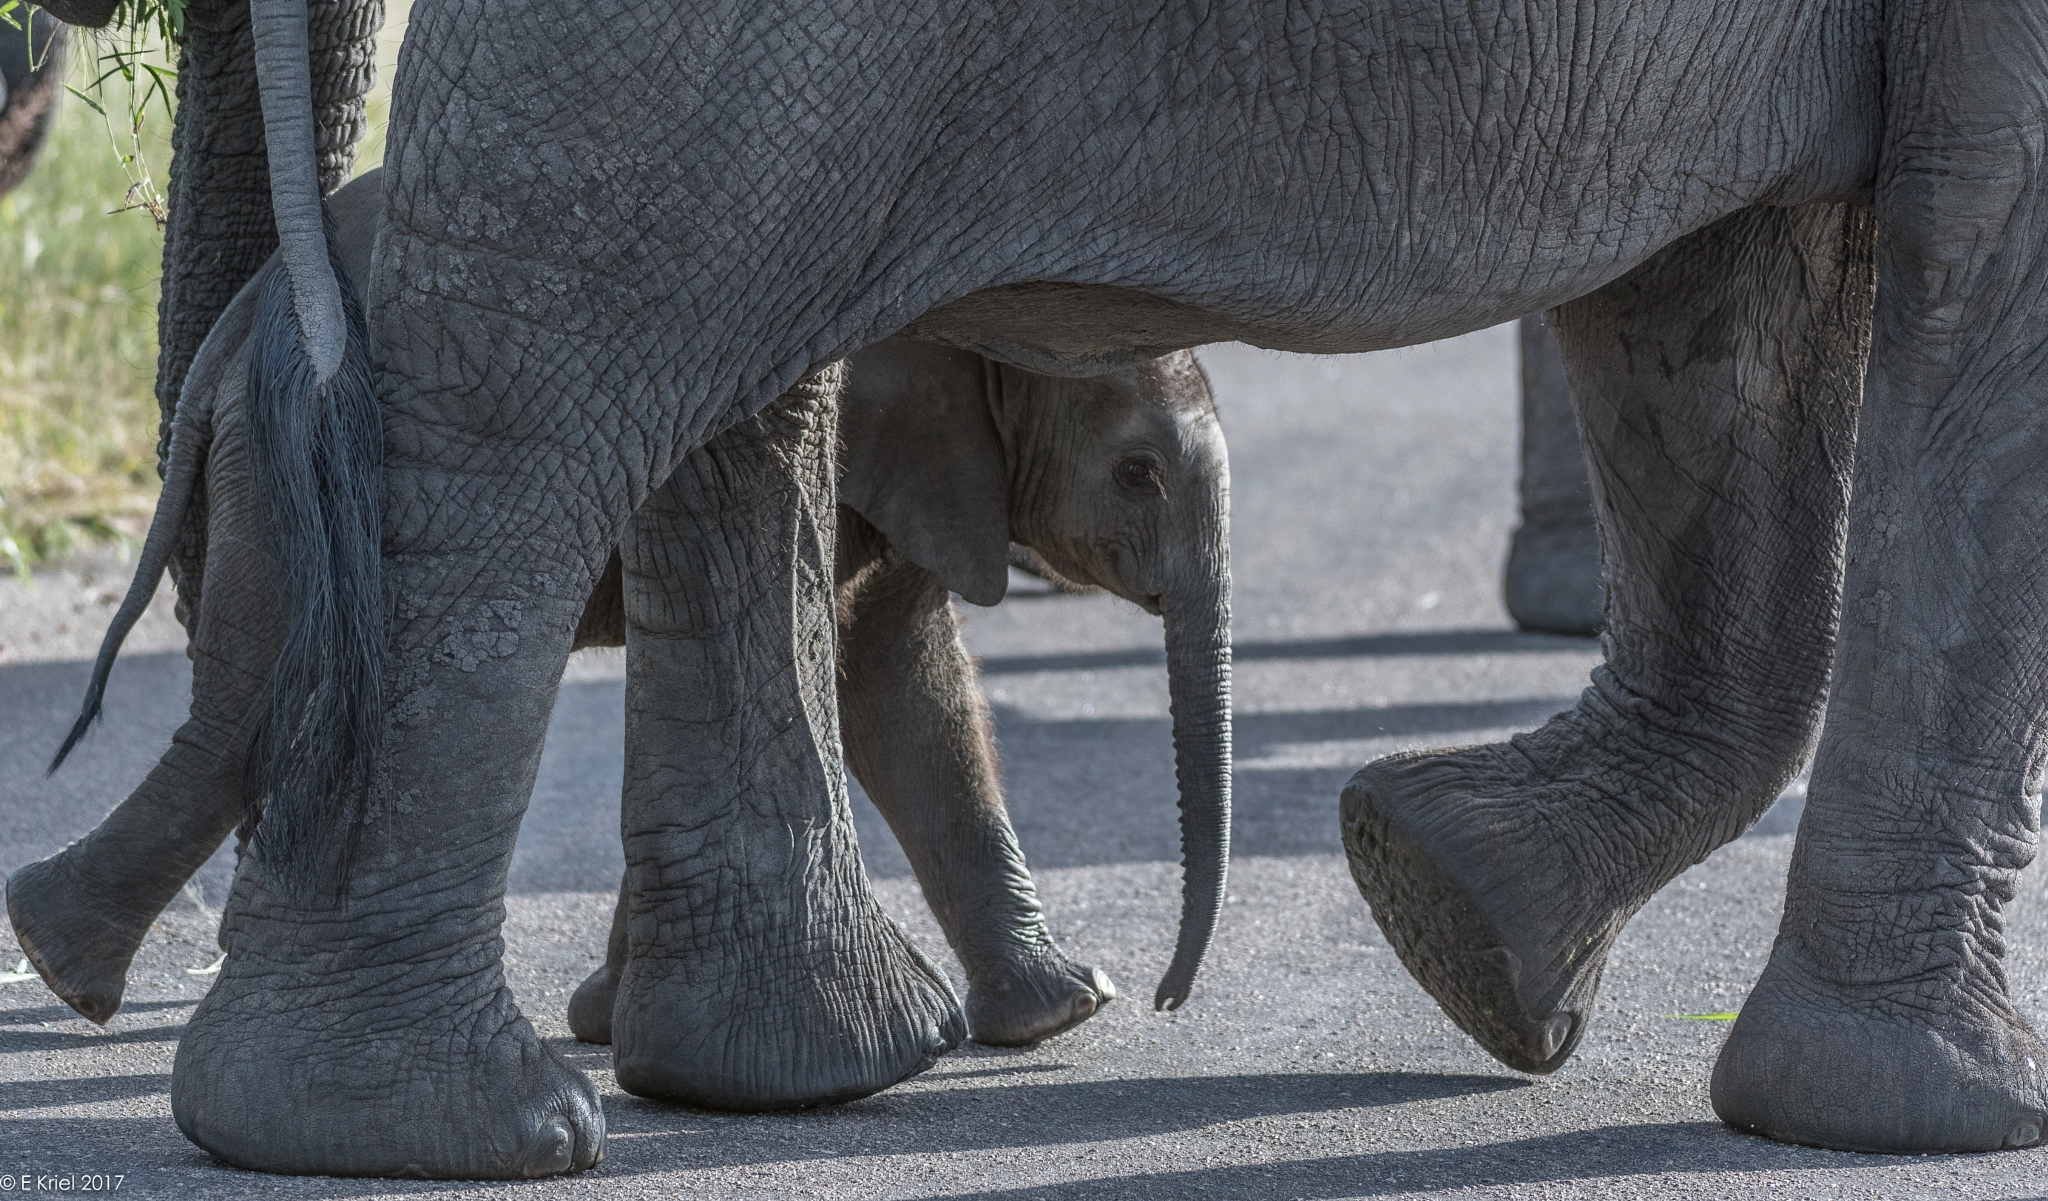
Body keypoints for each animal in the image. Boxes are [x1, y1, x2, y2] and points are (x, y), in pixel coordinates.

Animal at [8, 168, 1228, 1049]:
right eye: (1136, 473)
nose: (1168, 1000)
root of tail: (242, 312)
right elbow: (859, 674)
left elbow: (903, 679)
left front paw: (1066, 1010)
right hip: (310, 448)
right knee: (262, 694)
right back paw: (64, 967)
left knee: (248, 700)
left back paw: (62, 960)